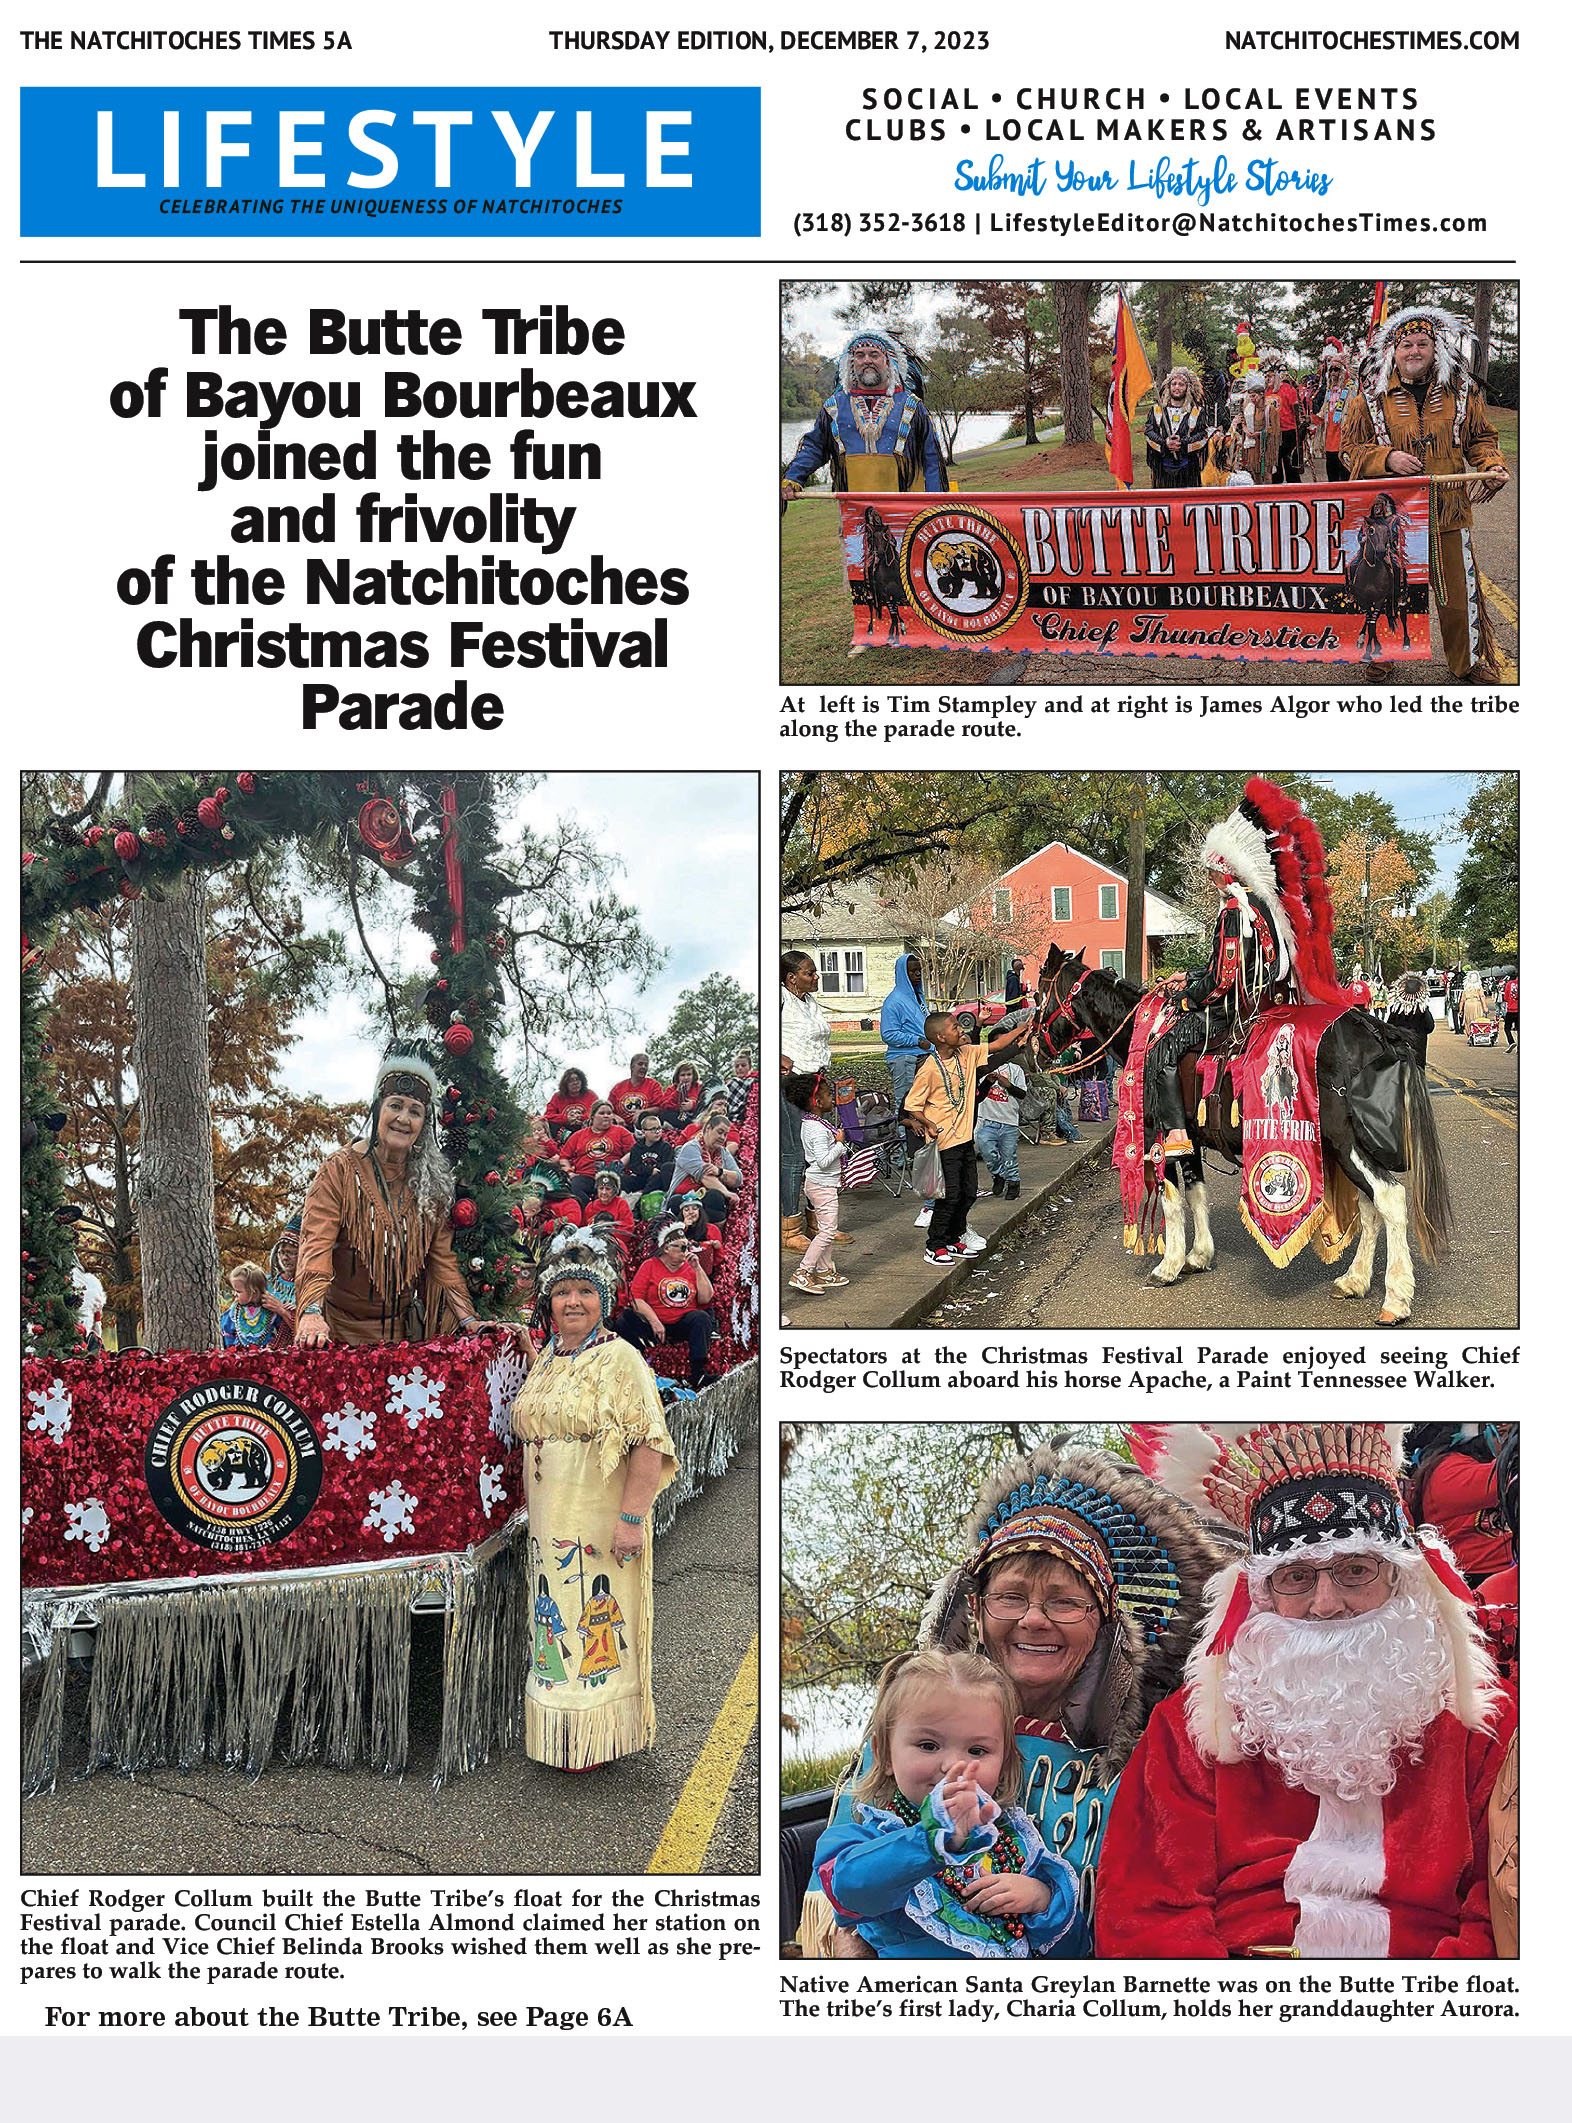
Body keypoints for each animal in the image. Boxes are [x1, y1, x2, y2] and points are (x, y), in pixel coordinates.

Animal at [858, 509, 909, 641]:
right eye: (873, 538)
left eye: (885, 537)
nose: (880, 553)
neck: (889, 571)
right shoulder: (885, 593)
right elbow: (893, 613)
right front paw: (892, 634)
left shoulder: (897, 593)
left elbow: (895, 612)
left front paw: (899, 631)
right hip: (871, 591)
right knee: (872, 606)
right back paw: (870, 629)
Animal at [1036, 938, 1453, 1316]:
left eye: (1040, 993)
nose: (1034, 1048)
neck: (1148, 1038)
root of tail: (1373, 1031)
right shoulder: (1189, 1137)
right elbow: (1196, 1193)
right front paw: (1199, 1255)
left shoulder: (1160, 1135)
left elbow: (1172, 1201)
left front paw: (1169, 1266)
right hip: (1347, 1147)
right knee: (1369, 1207)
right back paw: (1354, 1280)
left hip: (1345, 1140)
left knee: (1389, 1199)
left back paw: (1395, 1298)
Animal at [1342, 492, 1410, 658]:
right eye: (1371, 531)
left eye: (1387, 532)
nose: (1380, 552)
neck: (1371, 573)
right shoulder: (1363, 599)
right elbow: (1370, 620)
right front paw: (1371, 650)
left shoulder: (1379, 599)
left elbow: (1372, 622)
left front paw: (1373, 651)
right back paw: (1361, 639)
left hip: (1400, 596)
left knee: (1403, 616)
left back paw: (1406, 643)